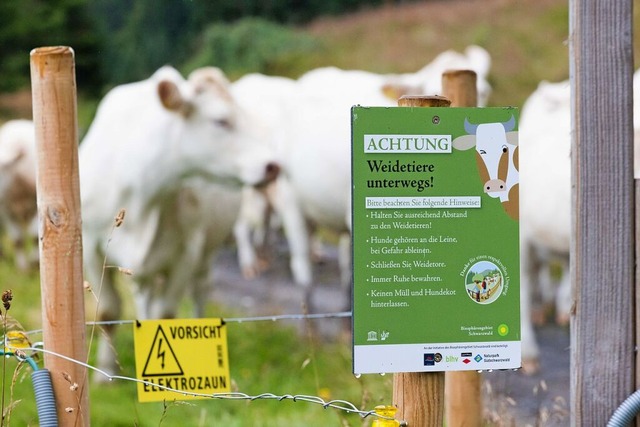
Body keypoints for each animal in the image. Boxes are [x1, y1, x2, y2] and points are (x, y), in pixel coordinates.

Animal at [80, 65, 280, 380]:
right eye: (221, 120)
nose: (273, 166)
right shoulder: (91, 246)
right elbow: (108, 312)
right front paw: (104, 374)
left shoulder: (187, 253)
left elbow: (165, 315)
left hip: (205, 254)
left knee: (198, 291)